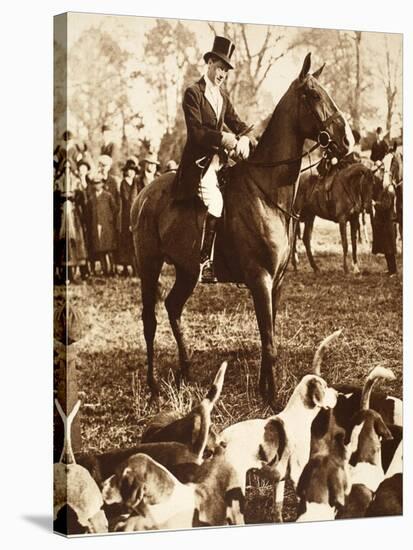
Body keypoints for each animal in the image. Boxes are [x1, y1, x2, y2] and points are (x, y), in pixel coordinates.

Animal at [130, 52, 352, 406]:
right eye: (313, 95)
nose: (347, 142)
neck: (267, 191)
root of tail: (144, 194)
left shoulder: (277, 282)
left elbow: (267, 335)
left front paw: (264, 389)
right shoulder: (260, 279)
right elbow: (269, 342)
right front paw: (273, 398)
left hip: (187, 270)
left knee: (173, 307)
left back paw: (186, 371)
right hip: (149, 266)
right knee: (149, 320)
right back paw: (153, 386)